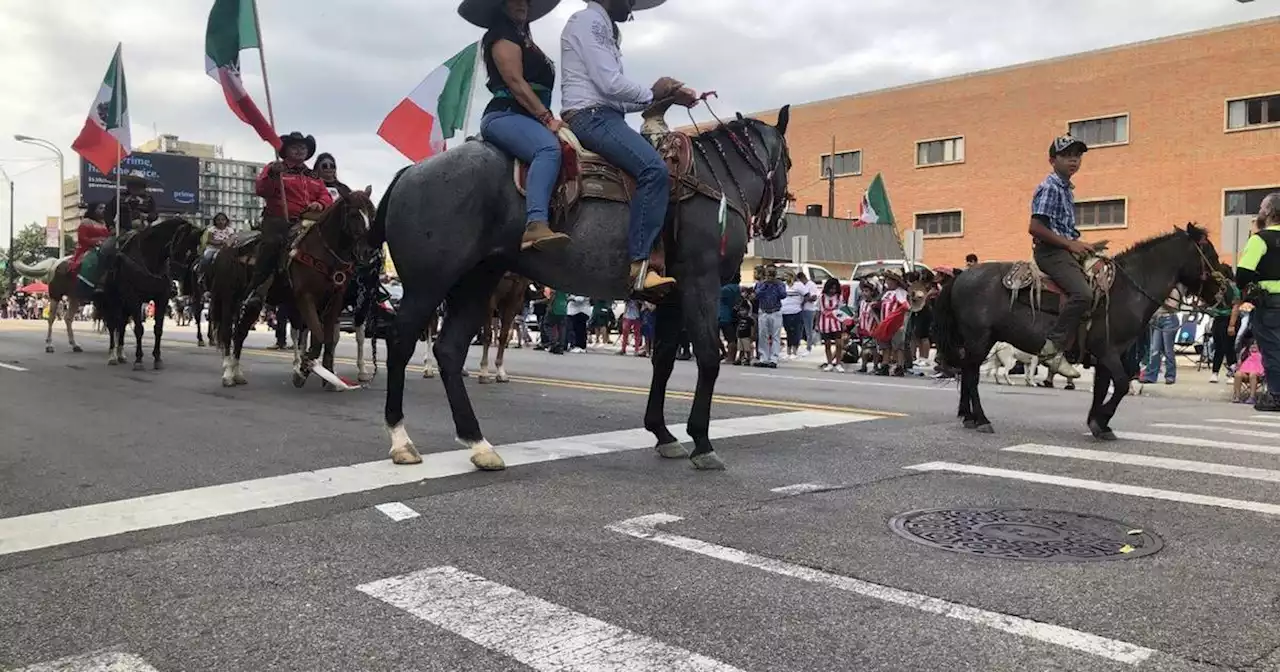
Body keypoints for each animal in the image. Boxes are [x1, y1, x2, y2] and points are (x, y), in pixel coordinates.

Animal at [92, 217, 203, 366]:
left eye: (196, 249)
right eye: (184, 247)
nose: (189, 278)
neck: (150, 258)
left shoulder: (161, 298)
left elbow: (158, 329)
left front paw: (157, 358)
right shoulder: (134, 298)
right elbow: (139, 329)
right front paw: (139, 359)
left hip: (124, 304)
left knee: (121, 325)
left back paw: (121, 354)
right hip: (111, 301)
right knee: (112, 324)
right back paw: (112, 356)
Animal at [209, 188, 373, 386]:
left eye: (372, 213)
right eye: (354, 214)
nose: (369, 251)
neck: (323, 252)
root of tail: (227, 245)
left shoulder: (334, 300)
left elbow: (326, 338)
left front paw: (328, 375)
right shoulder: (305, 298)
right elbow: (317, 336)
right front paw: (303, 369)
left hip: (253, 306)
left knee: (240, 333)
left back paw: (237, 373)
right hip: (228, 298)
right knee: (227, 331)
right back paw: (227, 373)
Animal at [371, 99, 788, 468]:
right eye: (787, 160)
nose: (778, 222)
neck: (712, 182)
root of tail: (409, 172)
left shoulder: (671, 297)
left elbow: (665, 360)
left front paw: (663, 434)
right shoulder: (701, 283)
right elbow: (708, 357)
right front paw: (701, 440)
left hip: (476, 284)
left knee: (451, 349)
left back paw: (478, 443)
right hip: (428, 284)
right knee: (401, 341)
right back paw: (401, 440)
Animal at [931, 222, 1218, 437]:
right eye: (1209, 253)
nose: (1224, 287)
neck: (1127, 290)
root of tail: (961, 276)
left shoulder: (1107, 355)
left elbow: (1103, 387)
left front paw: (1099, 423)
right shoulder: (1108, 351)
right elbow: (1121, 385)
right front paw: (1101, 419)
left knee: (967, 372)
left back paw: (968, 416)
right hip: (979, 339)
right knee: (971, 376)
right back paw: (980, 419)